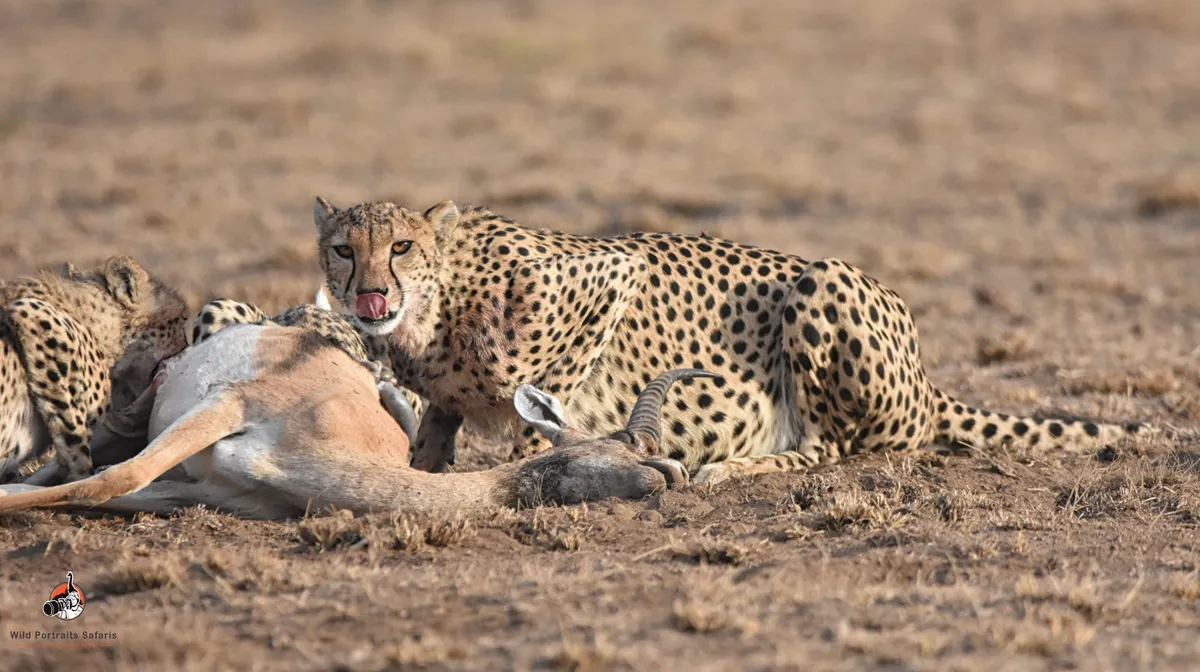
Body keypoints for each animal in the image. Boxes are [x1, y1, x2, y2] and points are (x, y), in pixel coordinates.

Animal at [310, 197, 1155, 485]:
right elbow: (436, 426)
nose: (370, 295)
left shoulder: (610, 272)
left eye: (403, 247)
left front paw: (532, 464)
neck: (434, 308)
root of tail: (925, 376)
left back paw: (730, 468)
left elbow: (536, 407)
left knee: (829, 448)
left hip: (823, 284)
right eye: (344, 249)